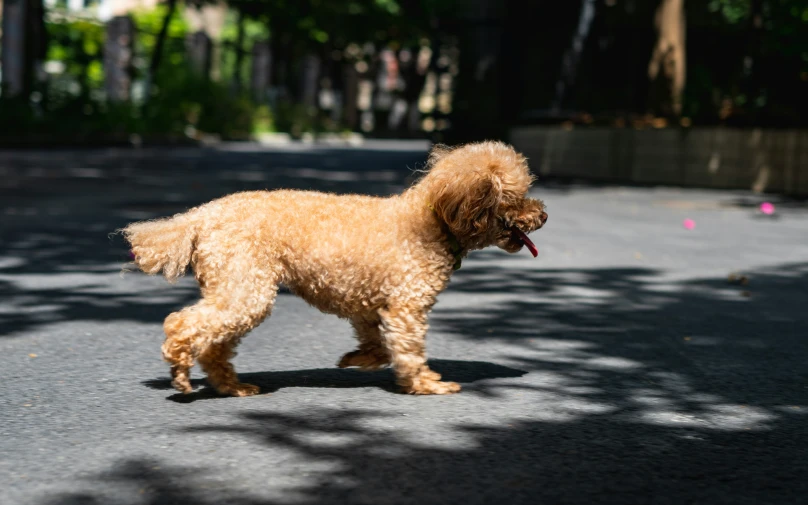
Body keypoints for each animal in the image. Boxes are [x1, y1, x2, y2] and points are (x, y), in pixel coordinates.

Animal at [121, 140, 548, 396]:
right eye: (516, 197)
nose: (543, 214)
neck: (431, 220)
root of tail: (202, 215)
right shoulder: (407, 305)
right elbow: (409, 348)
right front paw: (426, 383)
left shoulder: (371, 304)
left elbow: (376, 340)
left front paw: (360, 360)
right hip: (246, 287)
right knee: (183, 324)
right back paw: (180, 371)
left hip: (236, 287)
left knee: (213, 342)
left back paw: (232, 386)